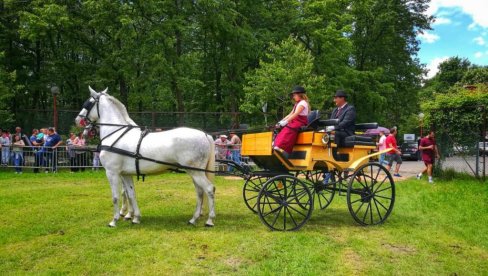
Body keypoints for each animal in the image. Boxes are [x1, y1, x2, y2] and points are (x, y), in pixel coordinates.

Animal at [75, 87, 216, 227]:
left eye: (88, 103)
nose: (77, 120)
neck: (115, 134)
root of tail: (205, 135)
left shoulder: (112, 172)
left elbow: (115, 197)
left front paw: (114, 220)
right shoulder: (125, 174)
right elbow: (131, 194)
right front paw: (135, 217)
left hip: (196, 172)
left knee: (209, 189)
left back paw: (209, 220)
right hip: (194, 172)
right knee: (200, 192)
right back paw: (194, 219)